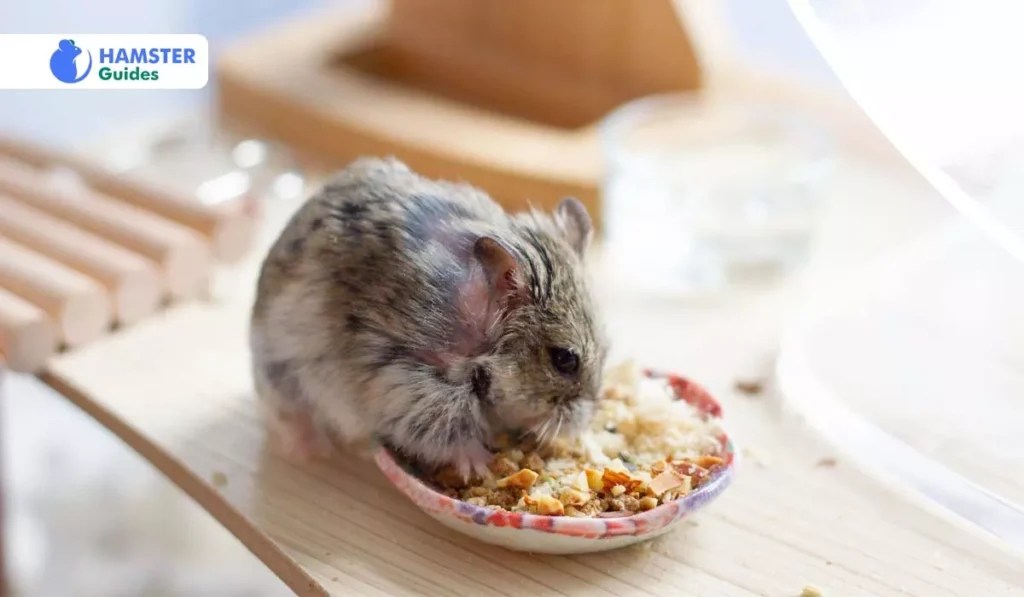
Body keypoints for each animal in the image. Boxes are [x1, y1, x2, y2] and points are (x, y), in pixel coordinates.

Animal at [250, 158, 606, 477]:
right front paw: (481, 464)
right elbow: (453, 432)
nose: (582, 425)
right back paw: (311, 450)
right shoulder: (407, 387)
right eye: (564, 359)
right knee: (290, 418)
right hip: (283, 378)